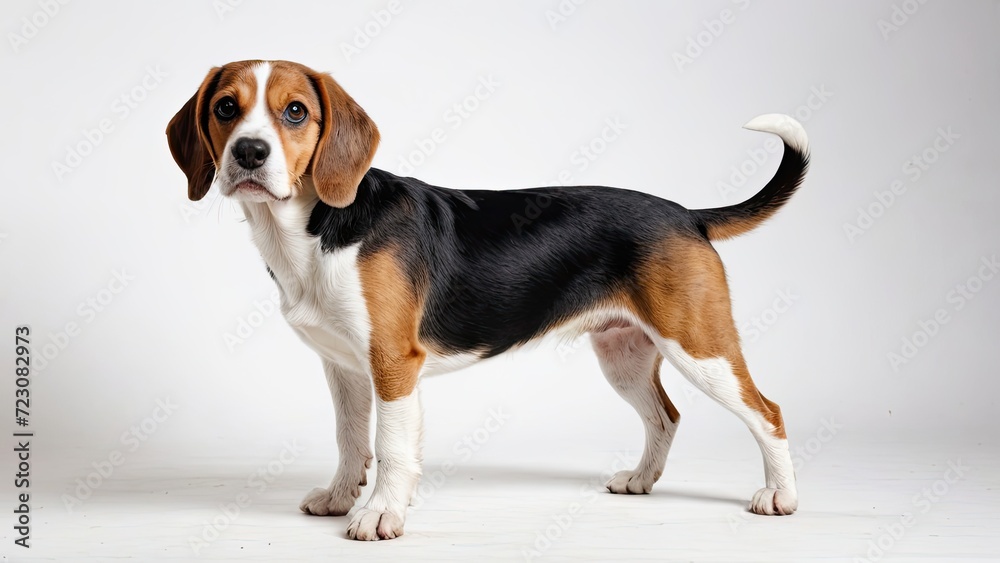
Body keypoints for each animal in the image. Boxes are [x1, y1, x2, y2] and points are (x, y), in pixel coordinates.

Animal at [168, 59, 812, 540]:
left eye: (295, 111)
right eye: (225, 107)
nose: (249, 153)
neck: (314, 230)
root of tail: (686, 214)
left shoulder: (393, 364)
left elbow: (389, 446)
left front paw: (378, 514)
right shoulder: (344, 368)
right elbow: (351, 439)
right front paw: (341, 496)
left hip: (700, 346)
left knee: (769, 412)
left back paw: (780, 496)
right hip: (624, 354)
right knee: (666, 415)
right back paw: (641, 480)